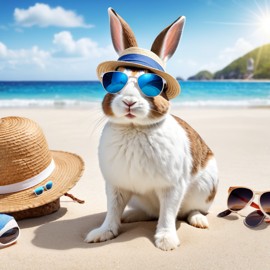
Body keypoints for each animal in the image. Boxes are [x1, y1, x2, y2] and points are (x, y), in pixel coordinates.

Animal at [85, 7, 218, 251]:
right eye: (113, 81)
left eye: (156, 85)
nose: (129, 102)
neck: (134, 128)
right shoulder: (116, 186)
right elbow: (112, 210)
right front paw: (101, 233)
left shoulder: (172, 187)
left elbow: (167, 215)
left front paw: (166, 241)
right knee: (148, 213)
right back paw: (130, 216)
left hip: (205, 189)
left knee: (188, 211)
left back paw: (199, 220)